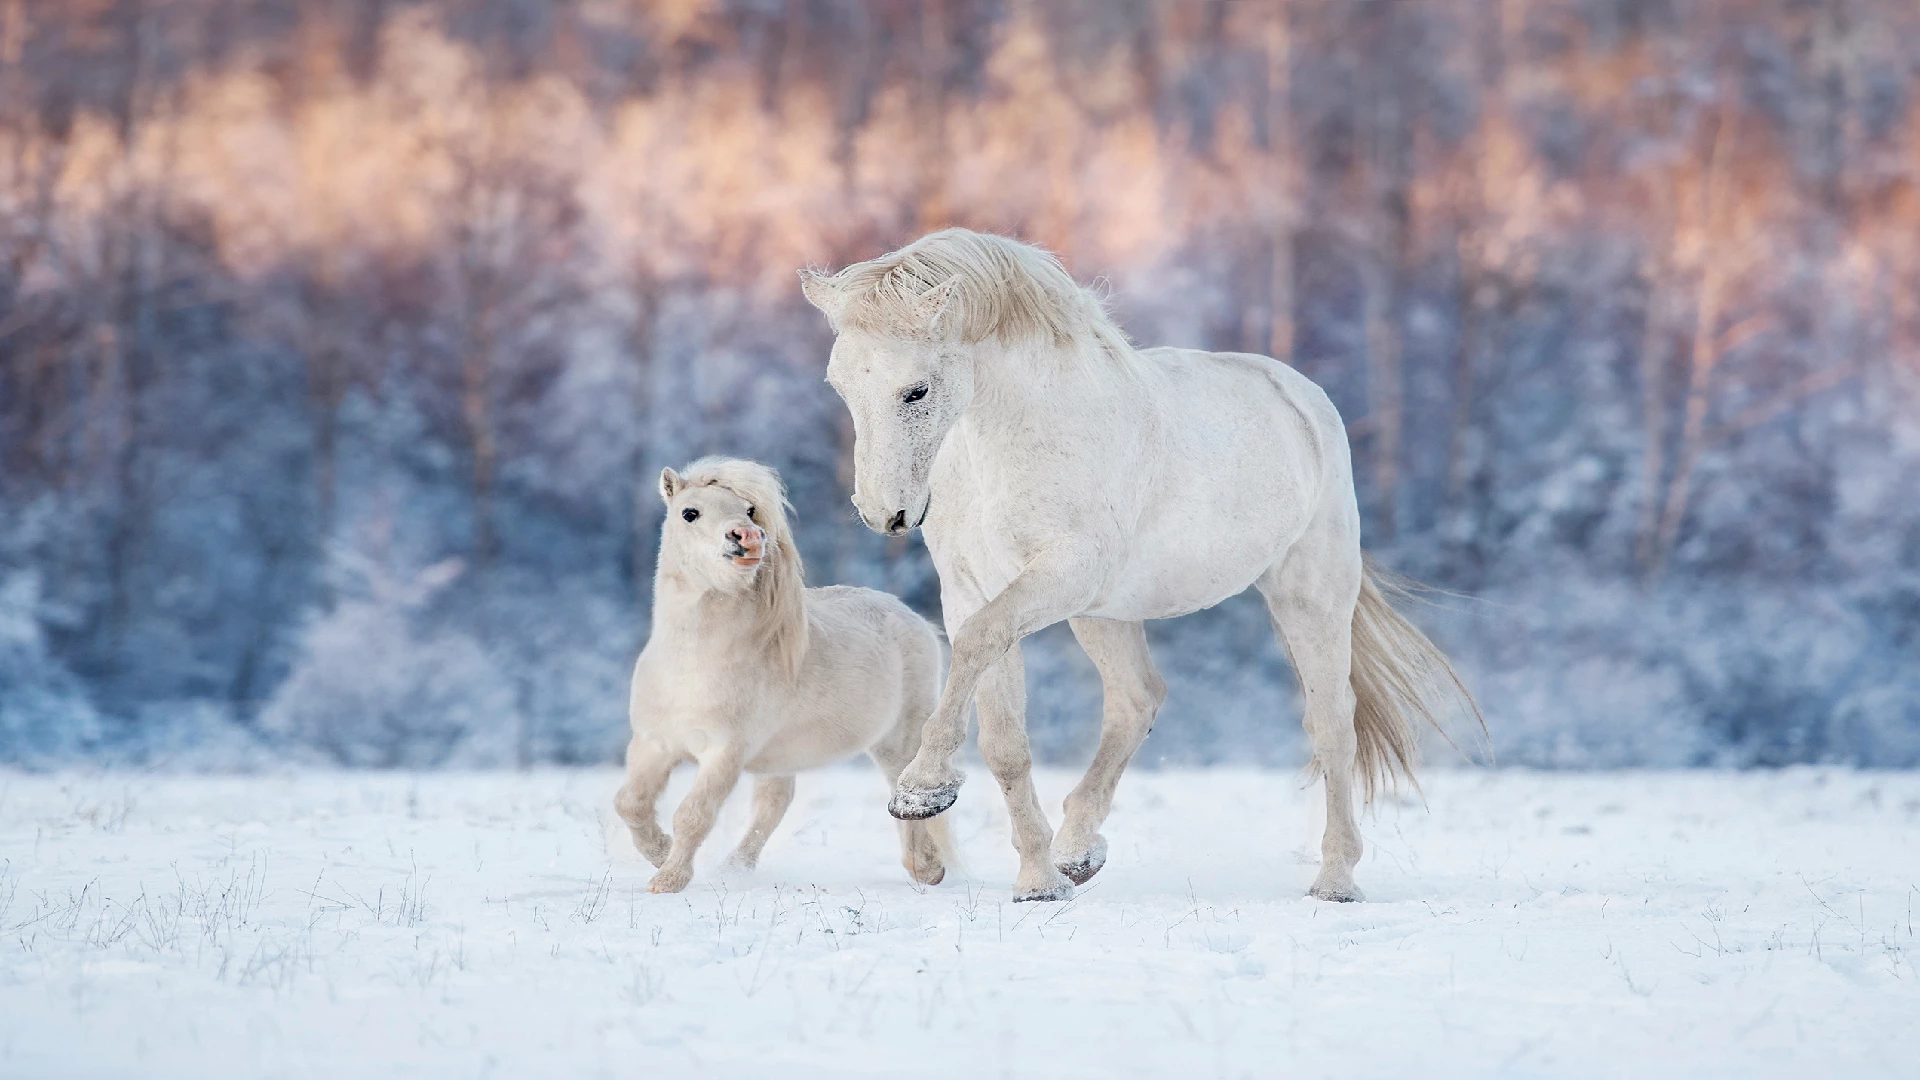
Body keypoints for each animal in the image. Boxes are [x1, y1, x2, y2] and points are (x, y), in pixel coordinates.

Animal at [610, 453, 948, 891]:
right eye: (689, 513)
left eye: (750, 510)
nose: (747, 537)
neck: (691, 665)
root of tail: (916, 620)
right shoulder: (653, 744)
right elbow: (630, 804)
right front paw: (660, 854)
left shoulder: (725, 753)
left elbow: (693, 815)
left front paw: (668, 879)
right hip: (781, 756)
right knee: (774, 804)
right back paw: (734, 869)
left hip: (897, 740)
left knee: (903, 790)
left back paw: (926, 868)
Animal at [802, 226, 1474, 899]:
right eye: (841, 387)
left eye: (916, 390)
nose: (883, 512)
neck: (1012, 445)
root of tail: (1302, 399)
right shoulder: (973, 588)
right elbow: (1005, 740)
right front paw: (1039, 881)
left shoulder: (1059, 575)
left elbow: (974, 646)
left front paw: (921, 791)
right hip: (1107, 613)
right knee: (1138, 700)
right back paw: (1078, 853)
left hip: (1309, 598)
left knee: (1332, 725)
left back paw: (1335, 880)